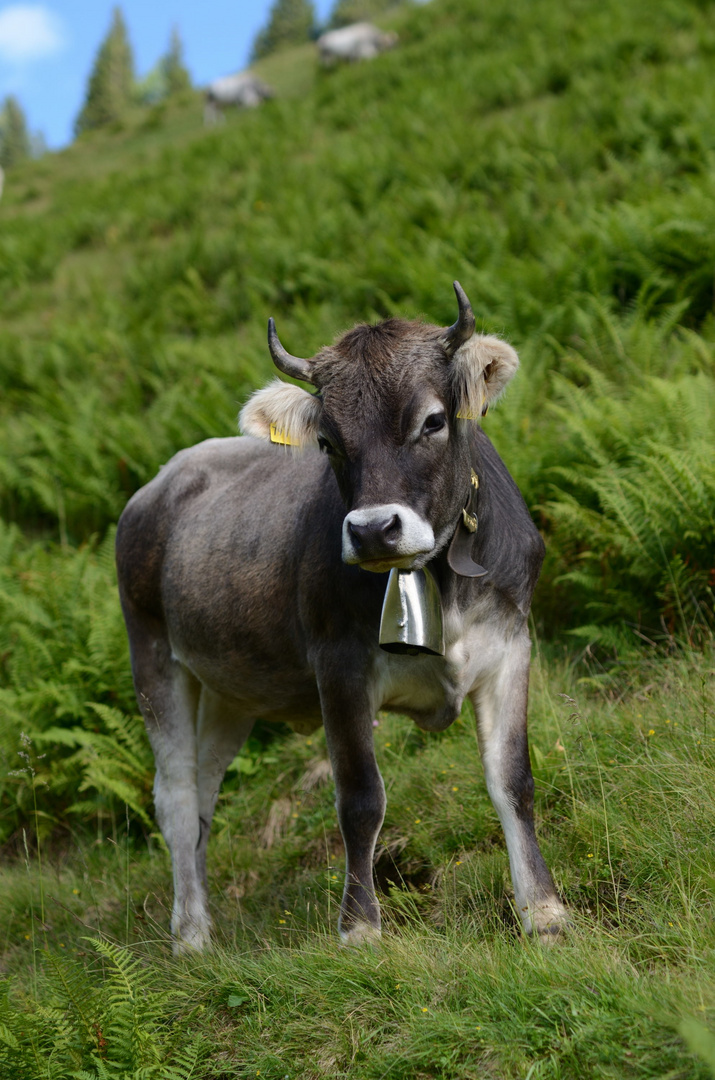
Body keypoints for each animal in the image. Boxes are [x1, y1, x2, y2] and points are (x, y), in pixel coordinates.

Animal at [115, 282, 570, 950]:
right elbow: (360, 798)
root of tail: (164, 478)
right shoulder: (339, 666)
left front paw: (544, 911)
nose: (375, 529)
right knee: (175, 799)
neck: (439, 582)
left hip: (228, 690)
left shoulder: (511, 647)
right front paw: (359, 927)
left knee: (200, 798)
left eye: (433, 421)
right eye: (328, 442)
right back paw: (191, 936)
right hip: (151, 654)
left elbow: (513, 780)